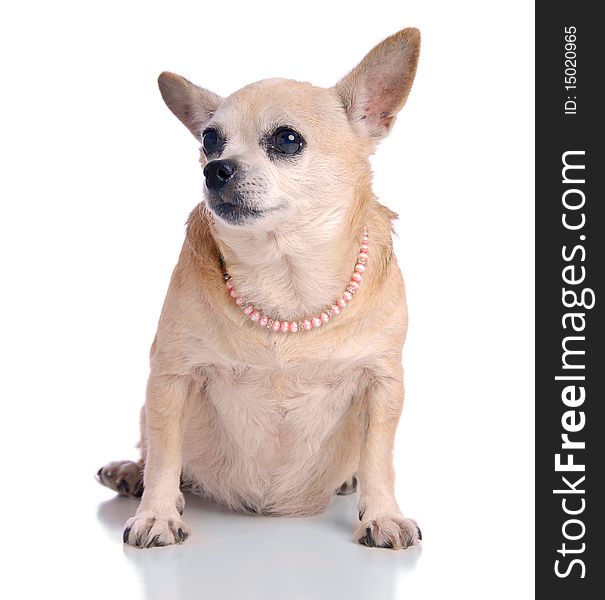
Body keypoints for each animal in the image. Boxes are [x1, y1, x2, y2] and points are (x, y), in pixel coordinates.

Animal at [98, 30, 420, 552]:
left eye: (287, 139)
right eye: (209, 140)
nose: (215, 169)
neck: (285, 282)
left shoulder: (382, 384)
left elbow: (379, 459)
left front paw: (383, 514)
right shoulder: (170, 379)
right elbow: (166, 453)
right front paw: (157, 514)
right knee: (151, 450)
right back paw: (133, 474)